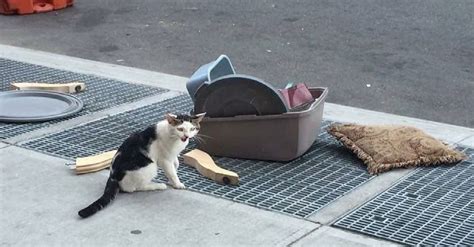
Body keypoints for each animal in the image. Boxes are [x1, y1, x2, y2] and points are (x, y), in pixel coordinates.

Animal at [77, 112, 205, 218]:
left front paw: (172, 176)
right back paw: (157, 185)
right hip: (150, 166)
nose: (187, 136)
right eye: (180, 128)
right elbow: (172, 172)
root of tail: (113, 176)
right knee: (134, 188)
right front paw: (177, 184)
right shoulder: (164, 160)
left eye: (192, 128)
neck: (175, 139)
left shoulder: (172, 156)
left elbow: (175, 165)